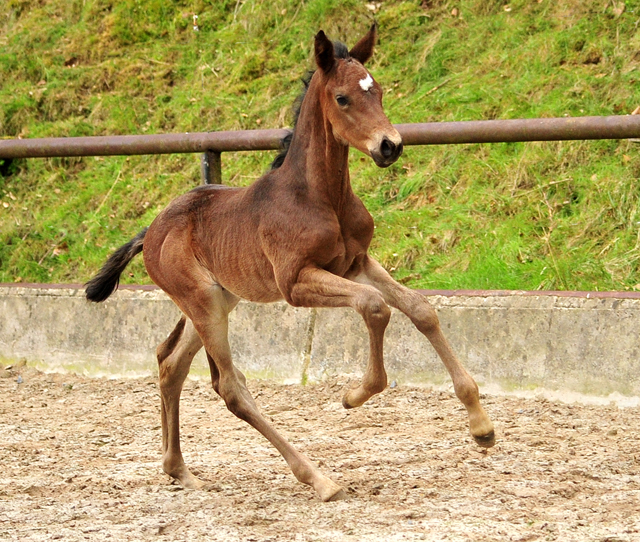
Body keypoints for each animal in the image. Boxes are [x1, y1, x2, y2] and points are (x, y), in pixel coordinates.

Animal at [86, 24, 496, 502]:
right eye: (342, 98)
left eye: (378, 90)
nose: (390, 146)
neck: (320, 196)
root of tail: (150, 230)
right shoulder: (297, 283)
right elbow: (374, 306)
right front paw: (355, 394)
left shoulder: (356, 262)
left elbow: (420, 308)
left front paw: (481, 427)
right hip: (204, 305)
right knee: (230, 387)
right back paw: (318, 478)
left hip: (216, 301)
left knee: (171, 364)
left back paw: (179, 470)